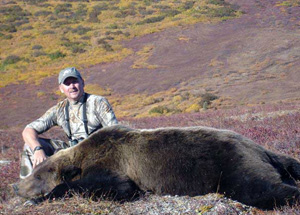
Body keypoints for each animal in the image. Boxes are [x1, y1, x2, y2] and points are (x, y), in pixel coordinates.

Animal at [14, 125, 300, 209]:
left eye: (37, 175)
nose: (16, 186)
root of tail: (260, 149)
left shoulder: (113, 164)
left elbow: (117, 188)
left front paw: (48, 194)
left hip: (231, 164)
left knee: (260, 189)